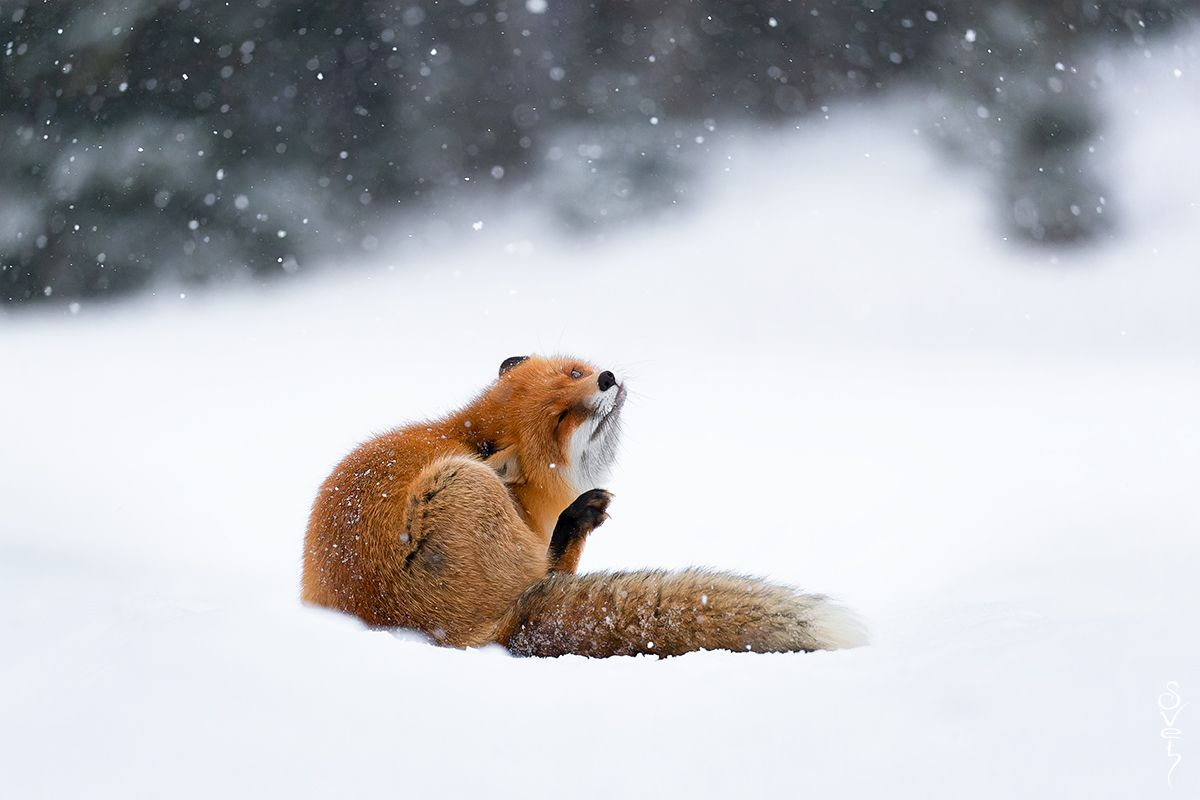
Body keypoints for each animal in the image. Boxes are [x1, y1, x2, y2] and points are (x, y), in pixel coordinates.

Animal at [300, 357, 864, 657]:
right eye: (561, 418)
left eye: (574, 373)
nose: (607, 377)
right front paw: (577, 514)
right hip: (461, 484)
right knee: (549, 569)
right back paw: (577, 520)